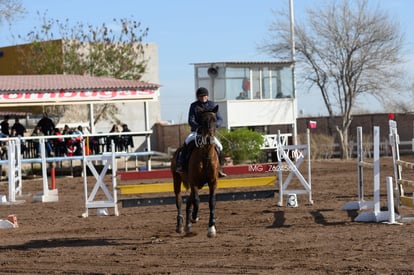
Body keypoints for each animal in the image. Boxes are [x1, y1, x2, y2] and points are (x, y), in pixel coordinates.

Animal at [171, 105, 222, 237]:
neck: (205, 156)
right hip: (177, 180)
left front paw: (211, 228)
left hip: (198, 184)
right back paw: (180, 225)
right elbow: (197, 200)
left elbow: (211, 202)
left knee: (189, 201)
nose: (209, 139)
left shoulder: (213, 182)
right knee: (179, 200)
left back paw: (188, 225)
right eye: (203, 121)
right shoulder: (193, 181)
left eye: (215, 120)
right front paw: (194, 217)